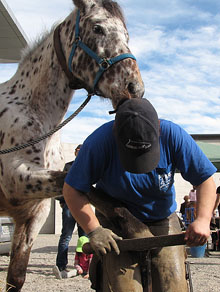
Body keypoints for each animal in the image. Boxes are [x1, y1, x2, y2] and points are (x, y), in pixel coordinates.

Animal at [0, 0, 144, 290]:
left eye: (127, 35)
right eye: (97, 27)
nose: (135, 88)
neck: (35, 112)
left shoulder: (33, 214)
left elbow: (16, 278)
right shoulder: (14, 179)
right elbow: (78, 183)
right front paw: (135, 226)